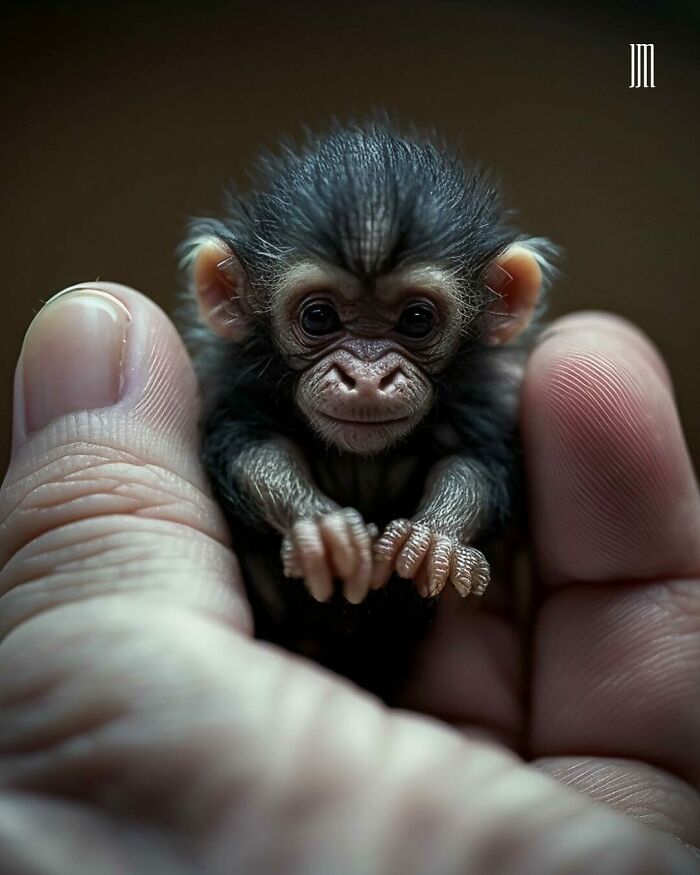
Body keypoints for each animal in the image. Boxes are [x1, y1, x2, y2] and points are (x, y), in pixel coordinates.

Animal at [180, 119, 558, 699]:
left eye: (417, 320)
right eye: (318, 317)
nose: (366, 375)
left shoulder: (477, 402)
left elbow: (480, 464)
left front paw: (435, 539)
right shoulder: (240, 391)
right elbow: (248, 449)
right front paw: (322, 529)